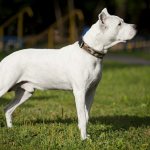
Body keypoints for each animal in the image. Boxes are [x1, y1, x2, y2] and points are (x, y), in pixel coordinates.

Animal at [0, 7, 136, 139]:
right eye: (119, 24)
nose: (135, 26)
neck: (89, 52)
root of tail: (5, 59)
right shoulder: (80, 92)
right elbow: (82, 116)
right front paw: (83, 139)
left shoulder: (91, 92)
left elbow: (86, 116)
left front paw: (85, 134)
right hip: (5, 87)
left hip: (25, 92)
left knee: (8, 109)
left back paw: (10, 129)